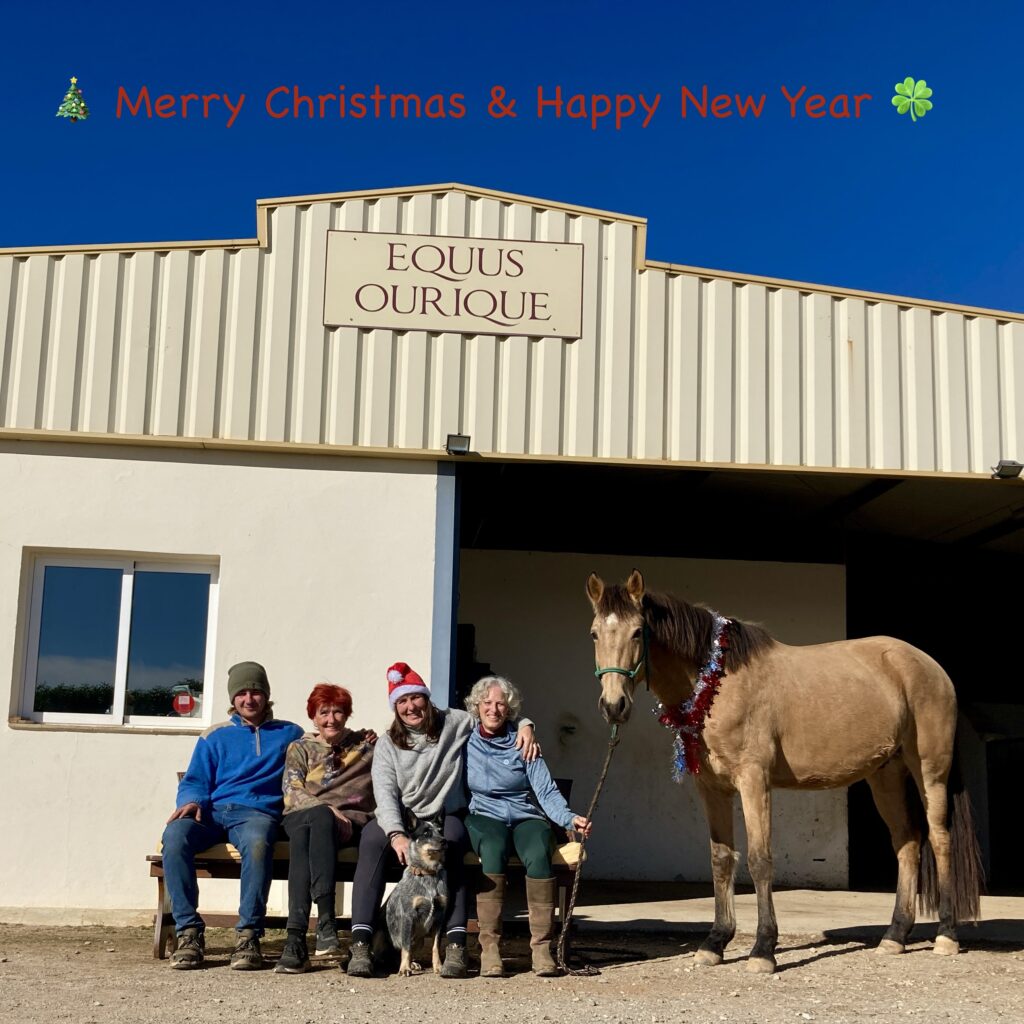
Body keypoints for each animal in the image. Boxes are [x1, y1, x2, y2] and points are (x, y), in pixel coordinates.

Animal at [378, 815, 450, 974]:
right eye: (426, 832)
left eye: (440, 830)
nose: (444, 840)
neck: (428, 873)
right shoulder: (408, 915)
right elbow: (406, 947)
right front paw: (404, 968)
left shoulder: (439, 917)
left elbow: (435, 946)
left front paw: (438, 966)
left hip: (420, 940)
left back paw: (413, 964)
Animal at [589, 573, 978, 970]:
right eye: (594, 634)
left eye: (638, 632)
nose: (614, 706)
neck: (718, 681)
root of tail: (930, 666)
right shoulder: (712, 788)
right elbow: (721, 859)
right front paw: (715, 942)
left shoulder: (753, 781)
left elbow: (760, 860)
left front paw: (763, 949)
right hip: (885, 775)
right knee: (907, 843)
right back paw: (894, 936)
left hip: (930, 771)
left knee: (939, 839)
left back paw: (946, 936)